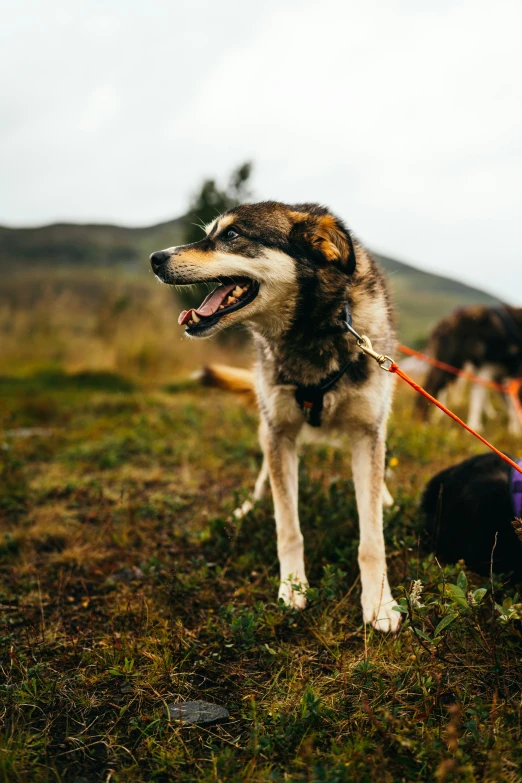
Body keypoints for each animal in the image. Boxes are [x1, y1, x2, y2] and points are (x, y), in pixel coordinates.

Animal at [150, 202, 398, 632]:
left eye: (232, 235)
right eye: (210, 233)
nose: (156, 258)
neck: (311, 334)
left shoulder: (368, 432)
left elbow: (372, 540)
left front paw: (380, 603)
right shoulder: (279, 432)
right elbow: (288, 527)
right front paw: (293, 587)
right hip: (268, 428)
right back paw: (249, 506)